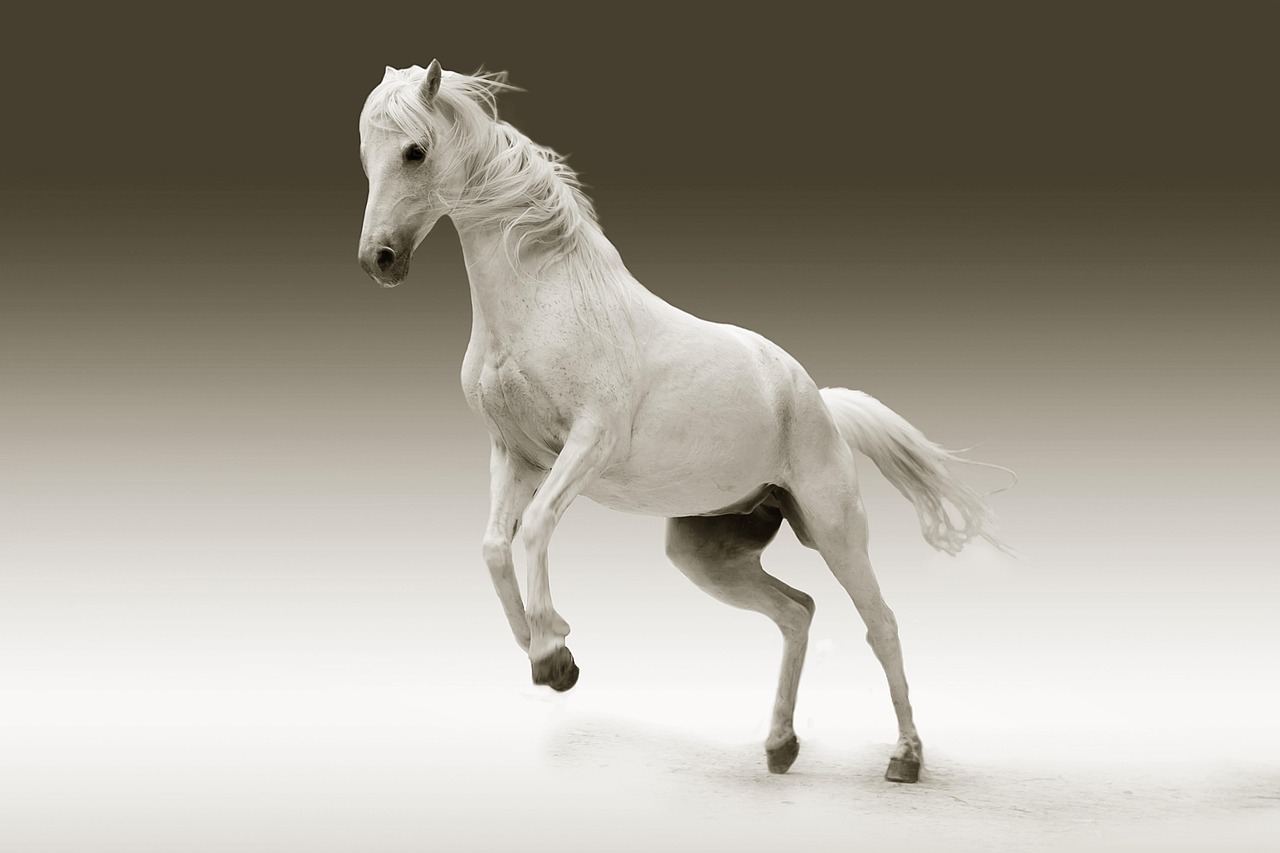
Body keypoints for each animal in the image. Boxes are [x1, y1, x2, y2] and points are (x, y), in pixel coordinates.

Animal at [356, 60, 1010, 784]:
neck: (545, 301)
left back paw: (905, 757)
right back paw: (780, 745)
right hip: (707, 552)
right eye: (366, 155)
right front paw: (547, 653)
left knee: (882, 624)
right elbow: (496, 546)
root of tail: (817, 400)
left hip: (835, 528)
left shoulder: (588, 443)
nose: (378, 259)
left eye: (415, 151)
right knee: (797, 612)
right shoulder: (515, 453)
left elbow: (535, 529)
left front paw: (553, 653)